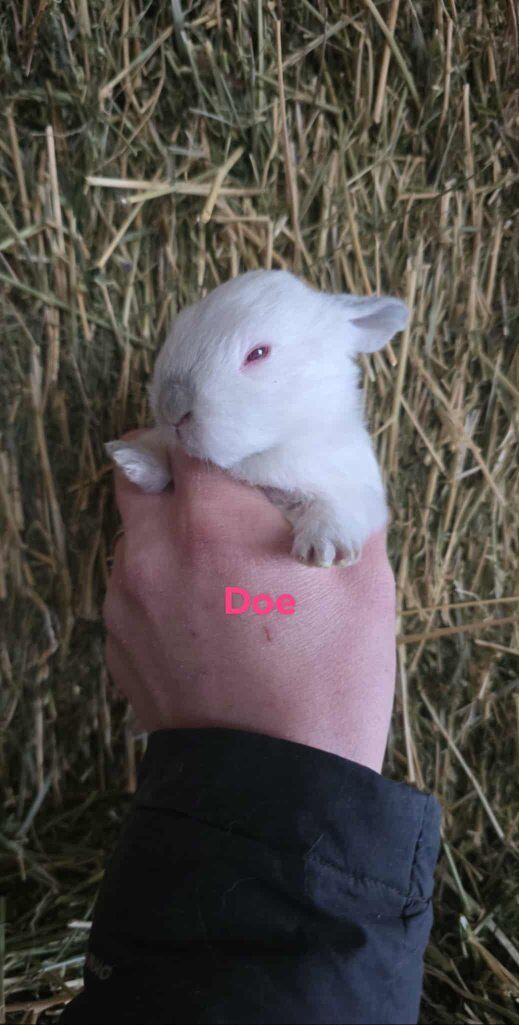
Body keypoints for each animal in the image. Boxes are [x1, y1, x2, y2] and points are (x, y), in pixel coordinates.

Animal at [106, 269, 408, 568]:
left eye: (258, 353)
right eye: (182, 322)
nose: (172, 406)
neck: (264, 454)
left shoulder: (355, 490)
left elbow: (335, 507)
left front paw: (324, 549)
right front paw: (130, 460)